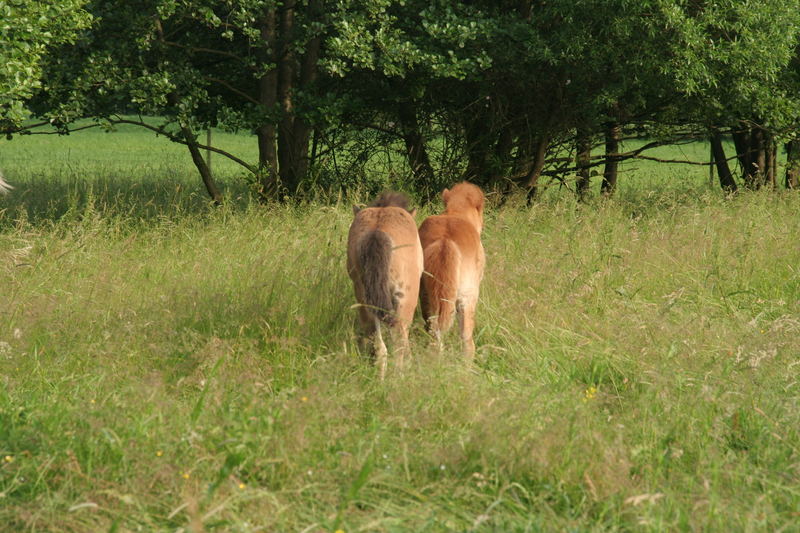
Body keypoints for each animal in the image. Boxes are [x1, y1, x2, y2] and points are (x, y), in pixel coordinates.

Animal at [416, 181, 484, 360]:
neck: (456, 213)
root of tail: (445, 242)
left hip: (426, 296)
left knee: (434, 332)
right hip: (467, 298)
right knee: (466, 340)